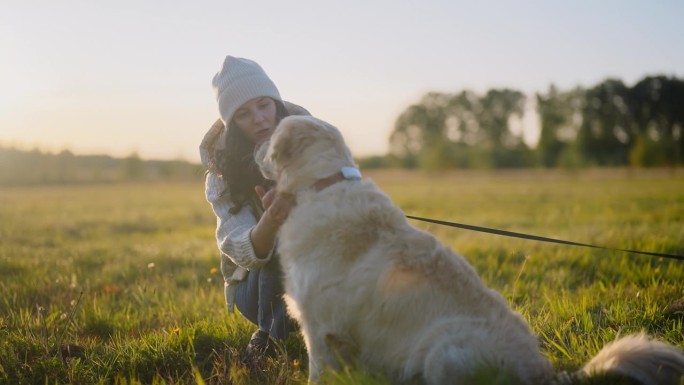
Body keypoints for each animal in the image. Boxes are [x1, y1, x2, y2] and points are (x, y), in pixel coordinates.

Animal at [258, 115, 684, 384]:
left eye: (271, 137)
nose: (255, 149)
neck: (322, 183)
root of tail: (545, 373)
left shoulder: (319, 326)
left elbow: (317, 373)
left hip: (444, 348)